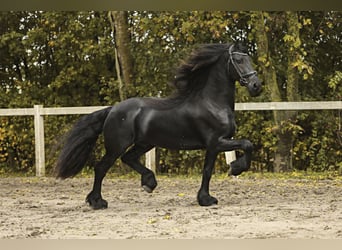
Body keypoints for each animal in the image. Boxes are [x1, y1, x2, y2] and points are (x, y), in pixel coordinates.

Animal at [56, 43, 262, 209]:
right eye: (238, 60)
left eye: (249, 59)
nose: (256, 86)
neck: (212, 103)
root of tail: (113, 109)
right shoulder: (216, 142)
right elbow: (245, 145)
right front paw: (234, 169)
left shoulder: (214, 145)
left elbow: (208, 170)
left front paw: (206, 198)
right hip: (116, 146)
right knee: (101, 168)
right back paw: (97, 202)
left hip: (145, 143)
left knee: (128, 158)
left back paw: (149, 183)